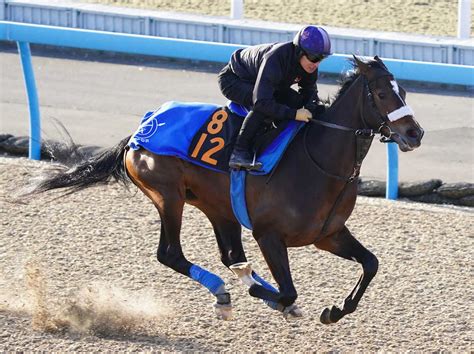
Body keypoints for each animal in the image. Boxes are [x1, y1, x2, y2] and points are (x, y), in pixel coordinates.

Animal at [20, 55, 424, 324]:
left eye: (403, 90)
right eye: (382, 94)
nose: (414, 133)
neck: (318, 160)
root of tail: (143, 126)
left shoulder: (327, 234)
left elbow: (370, 263)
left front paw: (336, 310)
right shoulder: (269, 234)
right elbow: (288, 289)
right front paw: (265, 292)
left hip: (219, 208)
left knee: (230, 254)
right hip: (169, 196)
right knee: (170, 254)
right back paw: (226, 291)